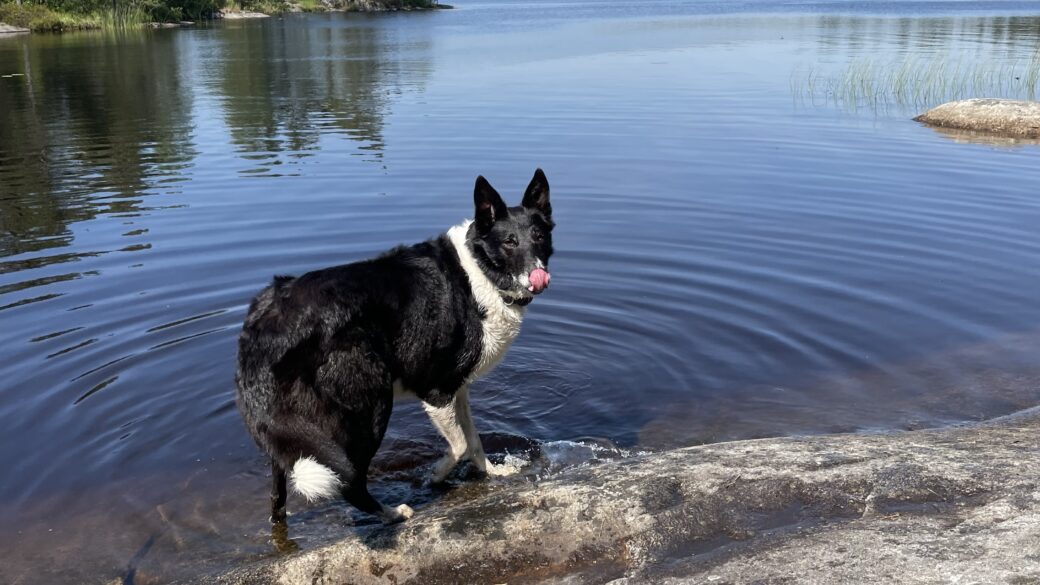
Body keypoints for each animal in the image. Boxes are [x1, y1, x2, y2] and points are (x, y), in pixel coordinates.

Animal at [235, 168, 553, 524]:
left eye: (539, 236)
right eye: (510, 242)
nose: (538, 275)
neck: (480, 270)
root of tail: (263, 325)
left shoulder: (458, 387)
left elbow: (474, 440)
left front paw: (491, 472)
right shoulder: (436, 390)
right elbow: (459, 444)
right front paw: (437, 474)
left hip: (286, 432)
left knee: (278, 493)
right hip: (371, 403)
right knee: (350, 483)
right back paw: (392, 514)